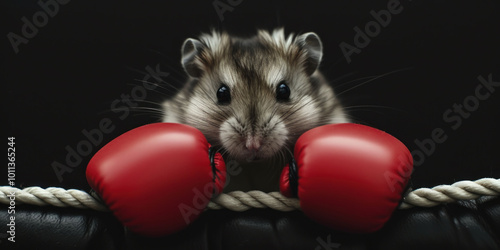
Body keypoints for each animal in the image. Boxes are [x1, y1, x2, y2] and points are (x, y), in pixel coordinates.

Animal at [163, 27, 348, 191]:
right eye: (221, 93)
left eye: (284, 90)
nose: (253, 145)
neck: (255, 165)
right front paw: (211, 157)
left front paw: (295, 168)